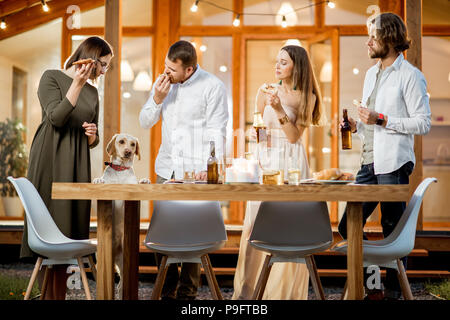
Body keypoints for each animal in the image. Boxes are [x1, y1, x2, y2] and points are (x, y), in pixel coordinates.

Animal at [92, 133, 150, 298]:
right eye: (122, 142)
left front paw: (144, 180)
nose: (128, 152)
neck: (120, 170)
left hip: (123, 262)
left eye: (133, 144)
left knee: (120, 285)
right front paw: (98, 180)